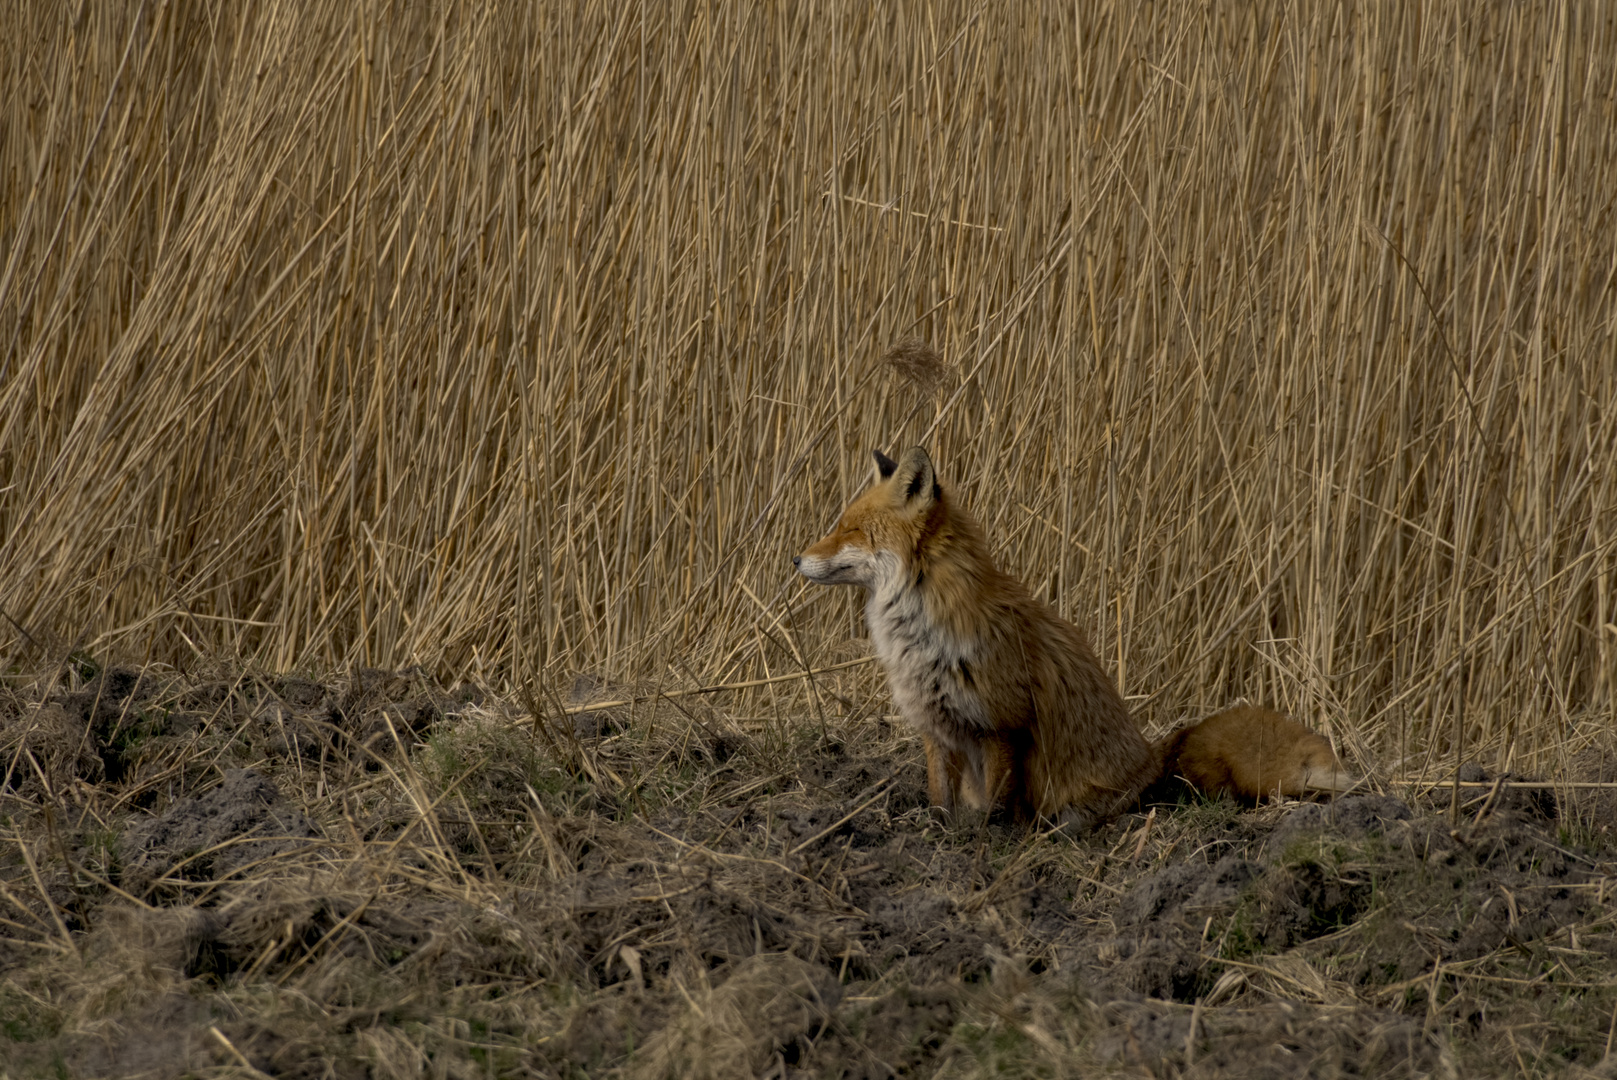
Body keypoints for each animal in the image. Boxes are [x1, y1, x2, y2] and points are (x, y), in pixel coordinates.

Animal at [795, 442, 1351, 834]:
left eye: (850, 530)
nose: (796, 558)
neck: (921, 636)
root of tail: (1154, 762)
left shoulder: (1003, 726)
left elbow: (997, 809)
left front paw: (982, 843)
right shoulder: (937, 727)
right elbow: (938, 801)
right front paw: (937, 835)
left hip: (1086, 803)